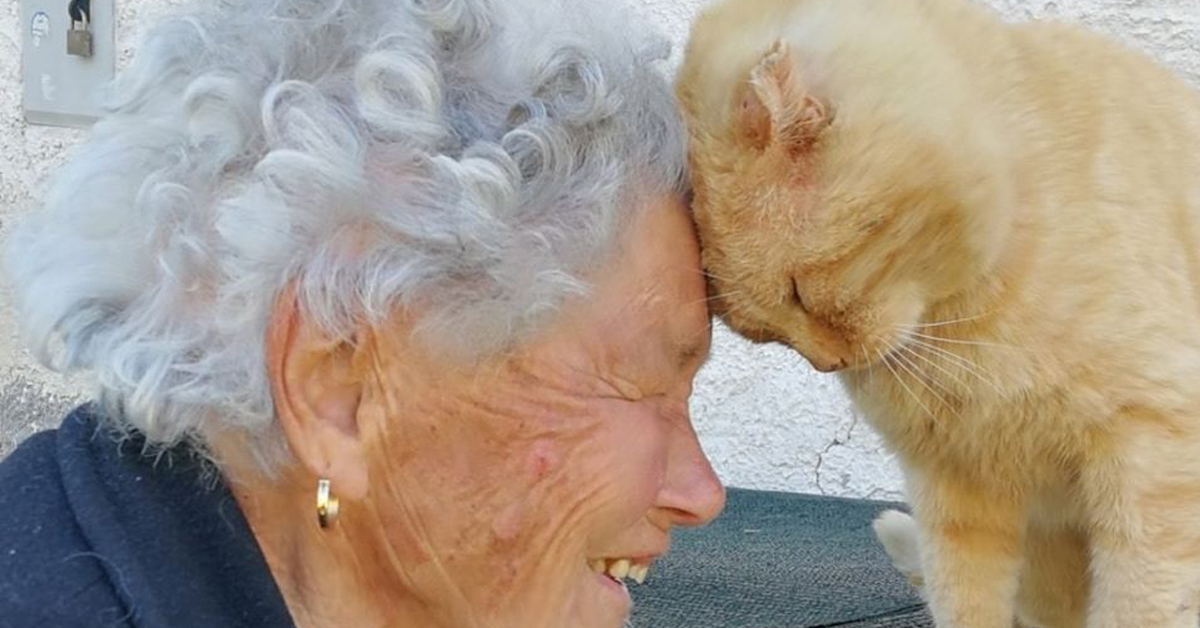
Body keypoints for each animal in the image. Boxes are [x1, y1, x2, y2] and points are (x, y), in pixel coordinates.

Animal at [681, 1, 1200, 628]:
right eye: (766, 335)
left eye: (799, 293)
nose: (829, 364)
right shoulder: (957, 486)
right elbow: (964, 597)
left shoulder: (1153, 459)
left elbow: (1138, 600)